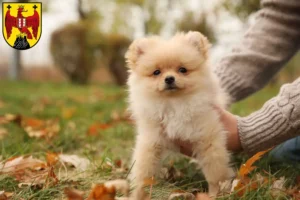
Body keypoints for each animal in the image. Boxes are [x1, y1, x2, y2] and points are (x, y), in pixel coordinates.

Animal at [124, 32, 234, 198]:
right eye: (156, 72)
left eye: (182, 69)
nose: (169, 78)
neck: (174, 103)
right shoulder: (152, 139)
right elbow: (144, 170)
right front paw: (139, 194)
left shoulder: (207, 137)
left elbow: (215, 171)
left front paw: (217, 193)